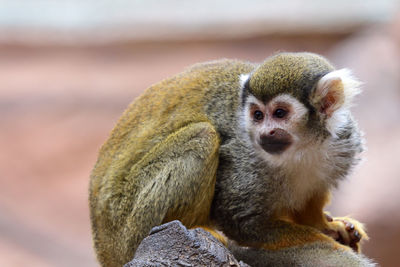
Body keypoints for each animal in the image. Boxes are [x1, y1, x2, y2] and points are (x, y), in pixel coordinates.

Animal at [90, 52, 372, 267]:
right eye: (257, 115)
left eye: (280, 113)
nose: (265, 133)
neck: (303, 147)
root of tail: (104, 248)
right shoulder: (243, 158)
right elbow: (240, 222)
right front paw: (326, 241)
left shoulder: (343, 141)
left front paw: (326, 225)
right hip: (130, 224)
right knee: (202, 135)